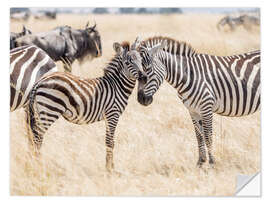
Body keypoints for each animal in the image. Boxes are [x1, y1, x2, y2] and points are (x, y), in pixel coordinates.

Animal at [25, 37, 146, 171]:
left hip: (38, 112)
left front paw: (110, 166)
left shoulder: (109, 117)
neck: (116, 86)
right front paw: (109, 169)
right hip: (49, 111)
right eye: (128, 62)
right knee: (37, 138)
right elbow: (110, 142)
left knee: (33, 137)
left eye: (141, 60)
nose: (144, 77)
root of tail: (39, 82)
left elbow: (110, 141)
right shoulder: (112, 114)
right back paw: (38, 165)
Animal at [137, 36, 260, 167]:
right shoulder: (193, 110)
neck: (189, 76)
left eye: (148, 70)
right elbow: (199, 136)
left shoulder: (206, 107)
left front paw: (211, 163)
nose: (141, 99)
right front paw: (200, 163)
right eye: (136, 72)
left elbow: (208, 136)